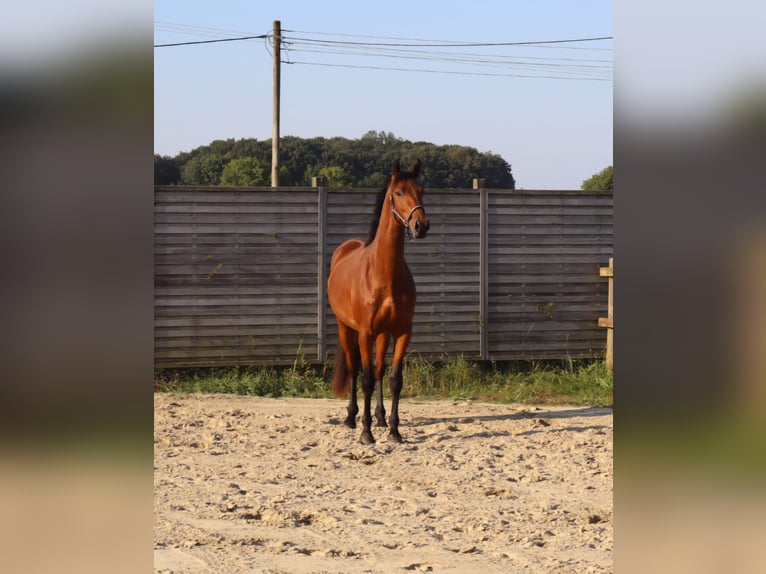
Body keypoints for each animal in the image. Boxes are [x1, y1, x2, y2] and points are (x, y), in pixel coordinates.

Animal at [328, 160, 428, 448]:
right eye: (398, 192)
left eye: (421, 190)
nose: (421, 225)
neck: (383, 273)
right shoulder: (365, 333)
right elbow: (366, 380)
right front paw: (366, 433)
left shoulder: (403, 332)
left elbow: (394, 379)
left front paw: (394, 431)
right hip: (347, 329)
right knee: (355, 369)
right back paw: (351, 418)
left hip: (383, 334)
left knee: (380, 370)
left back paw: (381, 418)